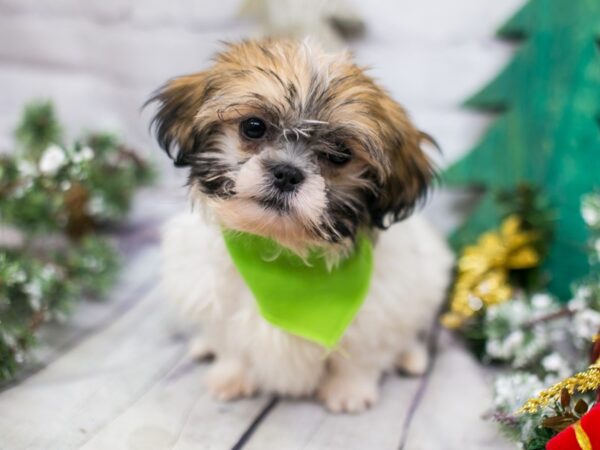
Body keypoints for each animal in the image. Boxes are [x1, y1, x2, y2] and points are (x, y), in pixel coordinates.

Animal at [149, 40, 450, 414]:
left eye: (340, 154)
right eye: (253, 127)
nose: (287, 173)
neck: (282, 251)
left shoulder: (382, 309)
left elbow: (361, 356)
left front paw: (349, 391)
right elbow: (231, 344)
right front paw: (230, 376)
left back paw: (411, 356)